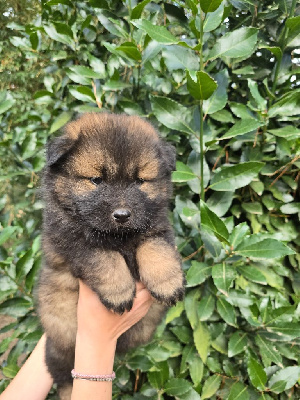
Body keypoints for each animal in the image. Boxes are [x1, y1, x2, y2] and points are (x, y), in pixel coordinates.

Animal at [37, 111, 185, 396]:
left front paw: (168, 283)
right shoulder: (74, 242)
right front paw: (119, 292)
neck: (119, 237)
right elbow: (105, 258)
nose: (122, 215)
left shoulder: (156, 226)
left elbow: (155, 248)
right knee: (63, 375)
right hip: (60, 342)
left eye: (140, 181)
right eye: (96, 180)